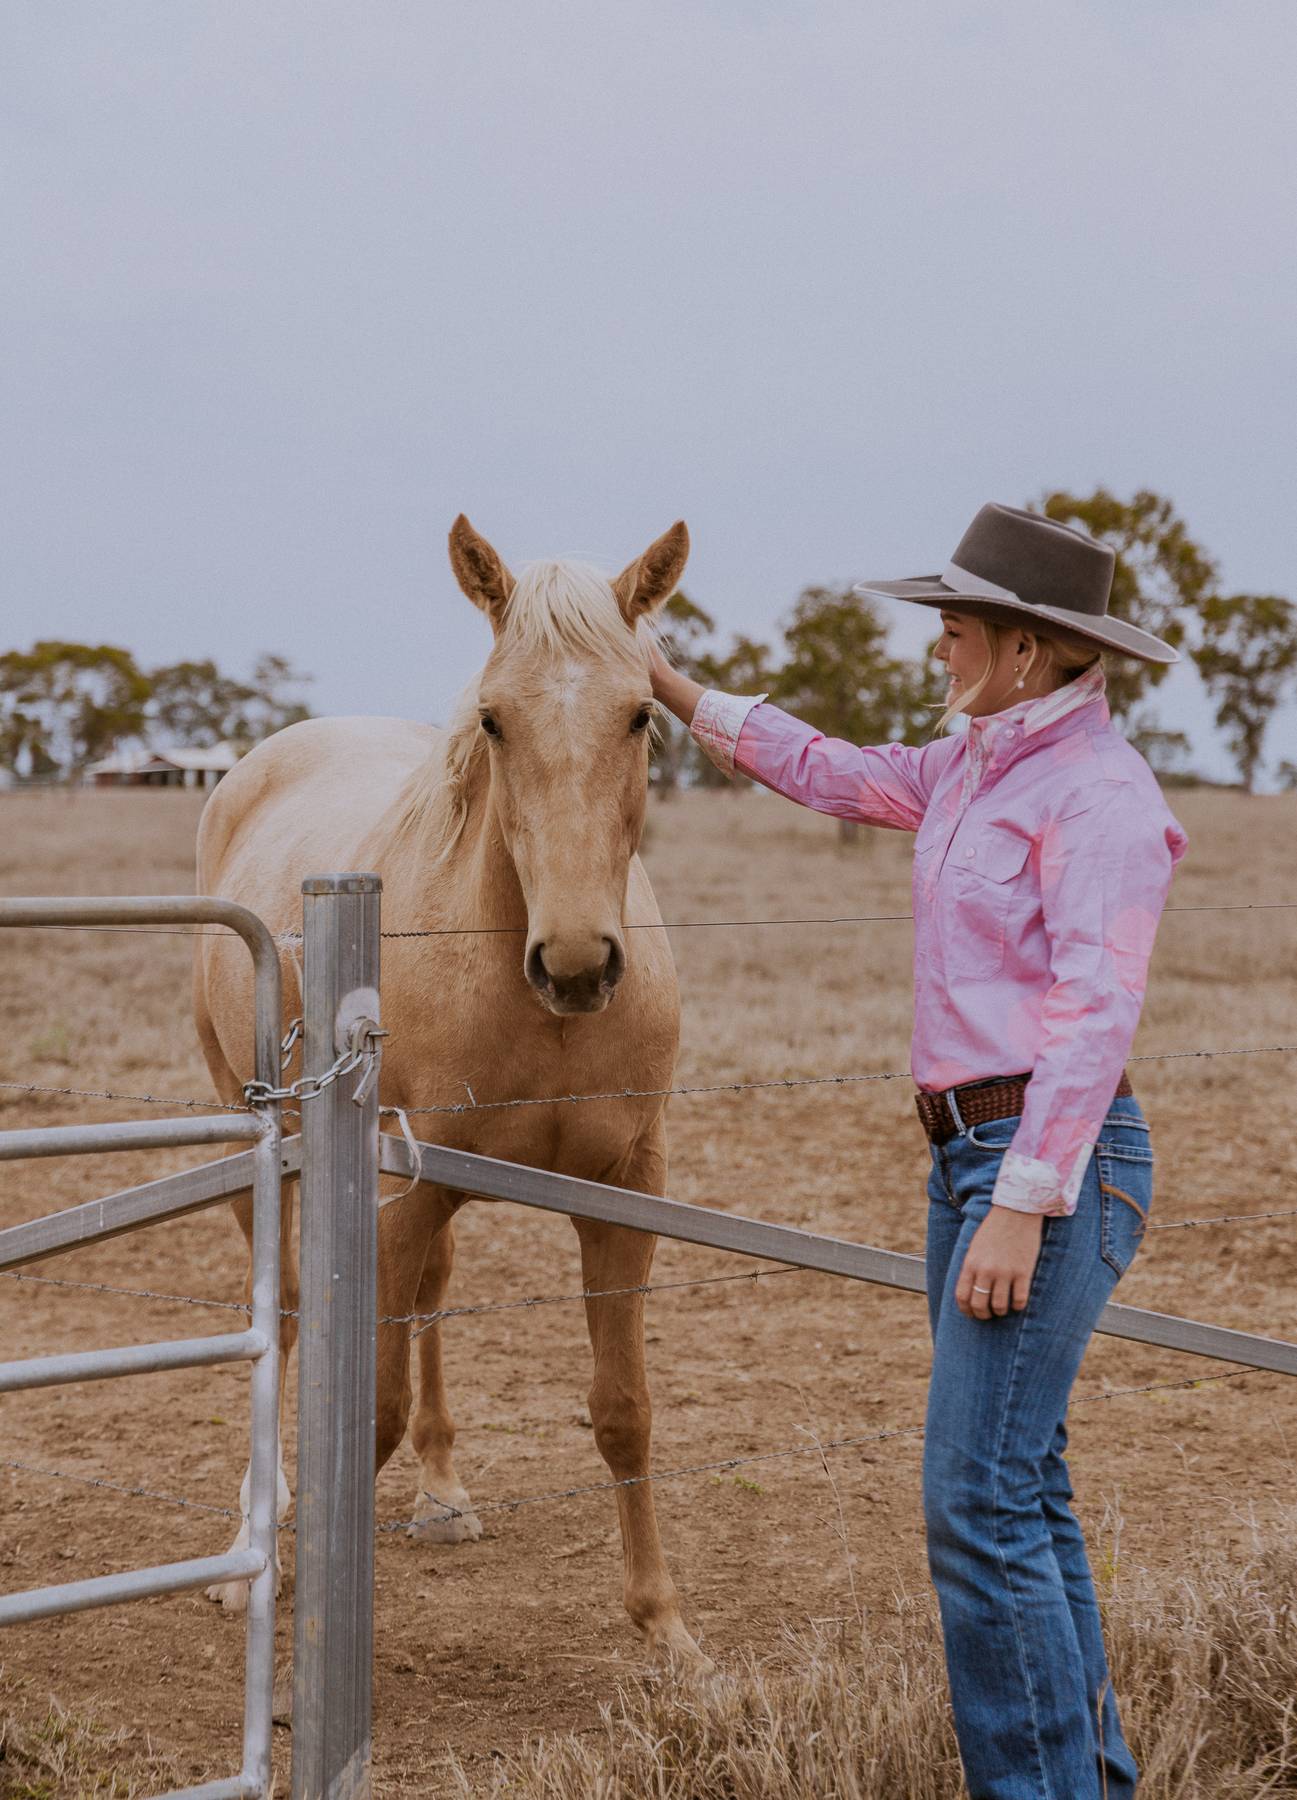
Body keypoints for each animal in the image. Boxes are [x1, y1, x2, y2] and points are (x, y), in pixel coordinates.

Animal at [192, 518, 697, 1656]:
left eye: (640, 714)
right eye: (494, 720)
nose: (575, 964)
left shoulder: (623, 1193)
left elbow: (624, 1408)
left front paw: (661, 1624)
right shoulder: (394, 1195)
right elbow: (360, 1411)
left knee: (427, 1298)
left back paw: (442, 1490)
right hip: (257, 1139)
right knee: (284, 1315)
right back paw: (260, 1528)